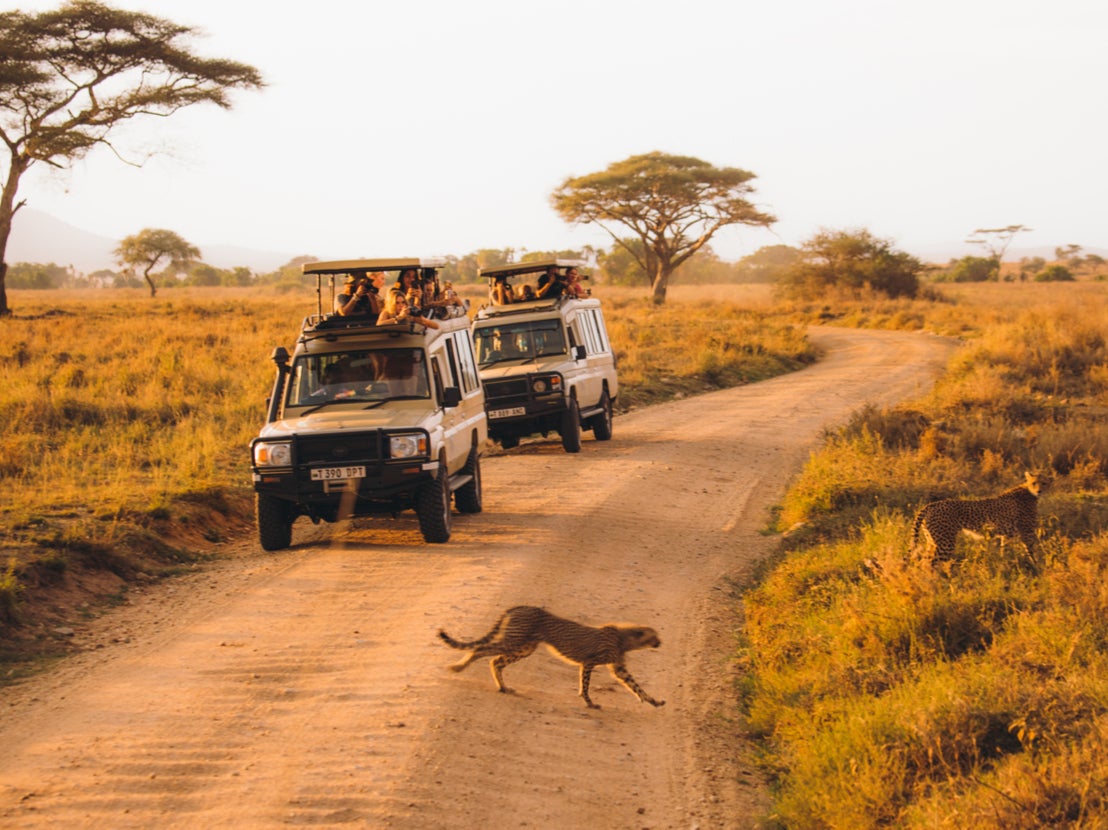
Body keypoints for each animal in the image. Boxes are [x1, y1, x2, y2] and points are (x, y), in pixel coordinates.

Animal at [912, 469, 1041, 567]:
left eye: (1043, 483)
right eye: (1034, 483)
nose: (1039, 491)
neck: (1028, 491)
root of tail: (932, 504)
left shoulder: (1008, 534)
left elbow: (1005, 549)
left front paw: (1005, 562)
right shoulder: (1027, 532)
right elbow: (1031, 550)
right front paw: (1037, 565)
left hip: (932, 541)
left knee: (923, 562)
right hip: (945, 542)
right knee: (929, 564)